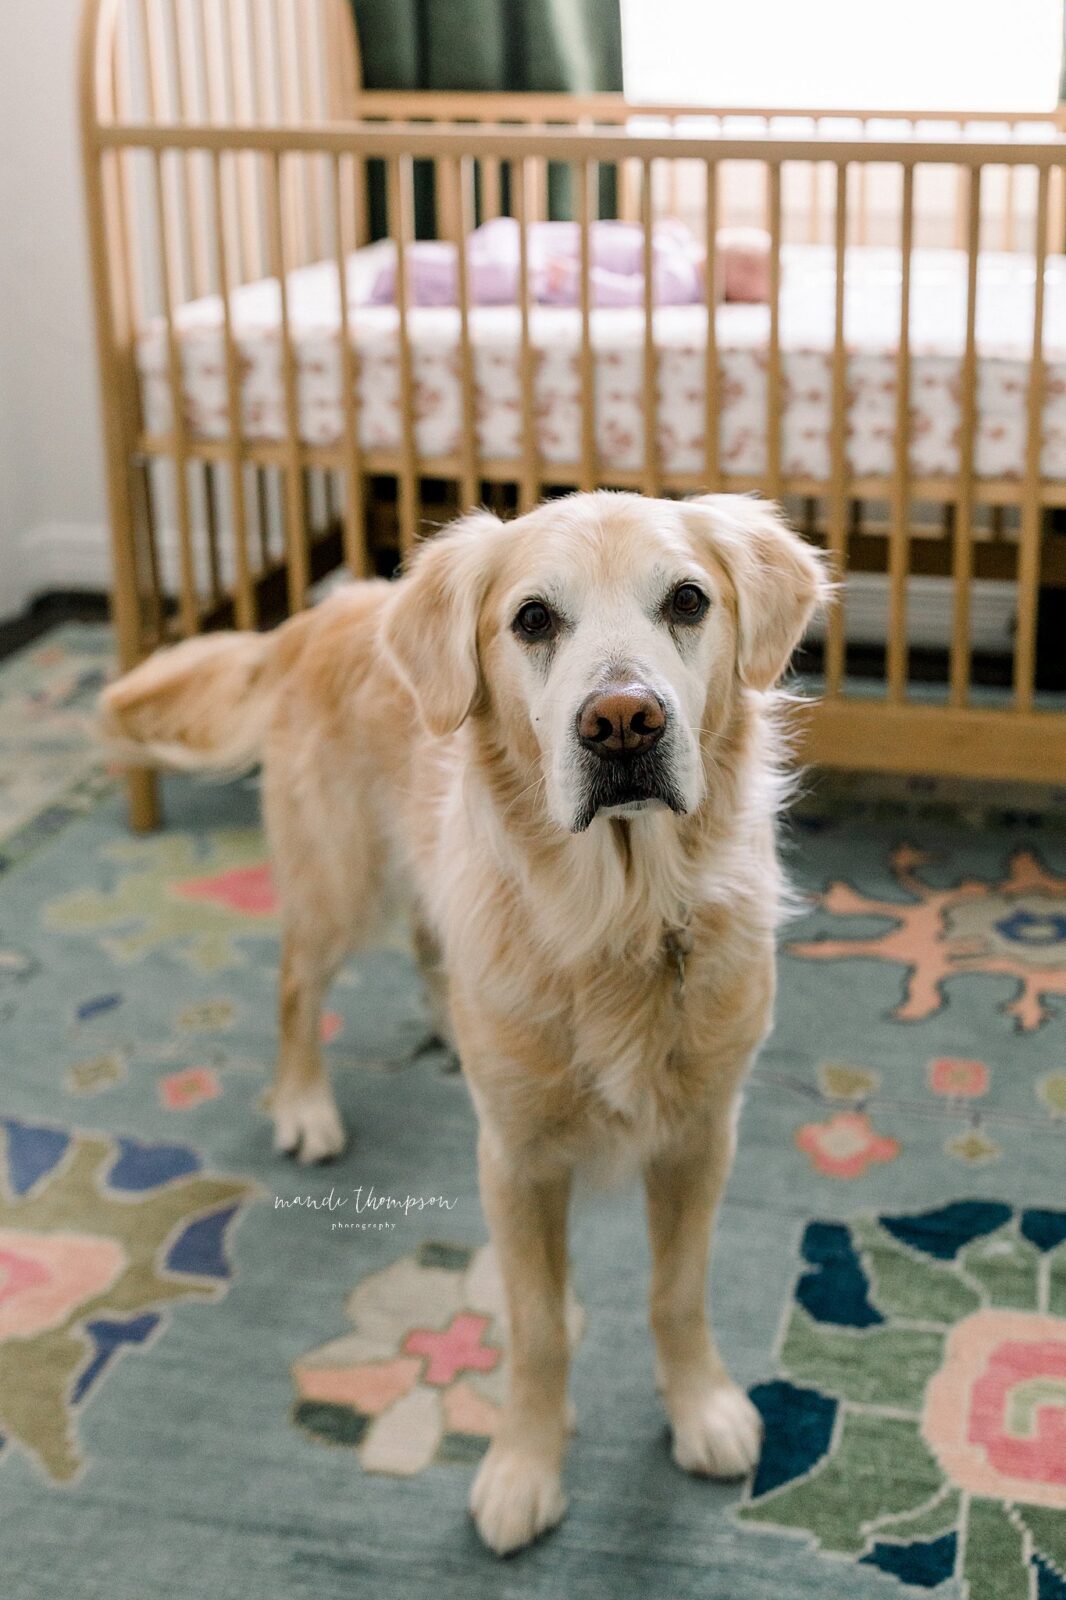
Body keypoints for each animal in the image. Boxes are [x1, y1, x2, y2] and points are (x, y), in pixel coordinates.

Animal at [101, 492, 819, 1555]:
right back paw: (305, 1107)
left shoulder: (700, 1136)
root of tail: (323, 611)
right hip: (337, 881)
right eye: (532, 619)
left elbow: (675, 1291)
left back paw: (445, 1027)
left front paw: (701, 1408)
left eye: (688, 600)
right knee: (294, 989)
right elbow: (537, 1325)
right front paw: (524, 1467)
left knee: (429, 942)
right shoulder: (516, 1161)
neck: (616, 913)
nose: (622, 722)